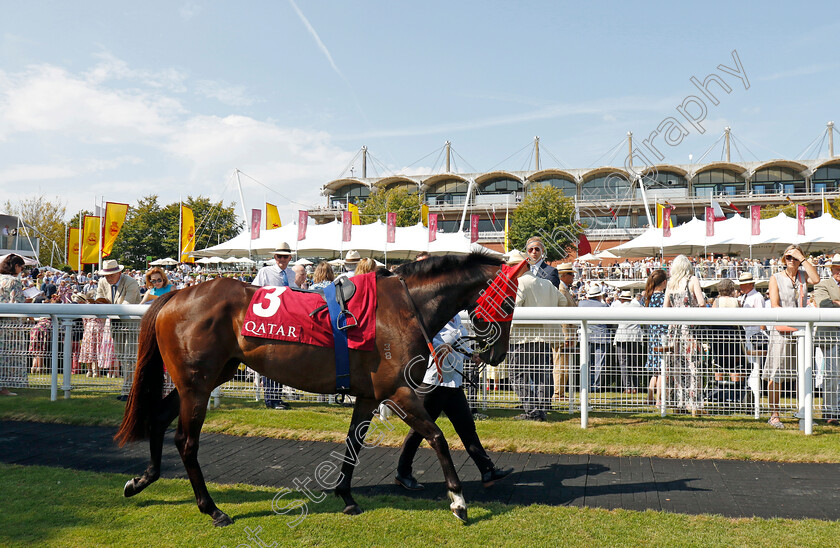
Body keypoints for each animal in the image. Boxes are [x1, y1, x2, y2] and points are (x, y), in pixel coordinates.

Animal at [115, 253, 520, 528]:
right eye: (508, 300)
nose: (498, 354)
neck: (403, 308)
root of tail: (175, 295)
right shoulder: (397, 391)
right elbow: (437, 436)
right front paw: (458, 500)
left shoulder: (369, 396)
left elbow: (353, 444)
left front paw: (347, 496)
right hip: (197, 385)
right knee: (185, 441)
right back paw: (211, 508)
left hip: (204, 379)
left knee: (158, 419)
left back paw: (141, 480)